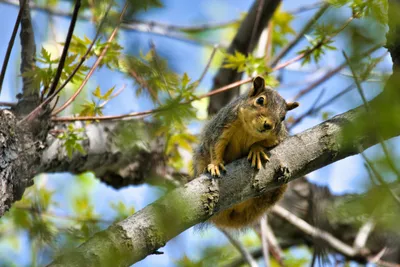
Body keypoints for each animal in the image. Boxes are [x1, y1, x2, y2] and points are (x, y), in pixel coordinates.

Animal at [192, 76, 298, 229]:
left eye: (283, 117)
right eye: (260, 100)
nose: (268, 125)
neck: (249, 129)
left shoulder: (279, 136)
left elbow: (270, 143)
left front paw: (256, 149)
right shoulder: (225, 122)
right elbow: (216, 144)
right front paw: (216, 164)